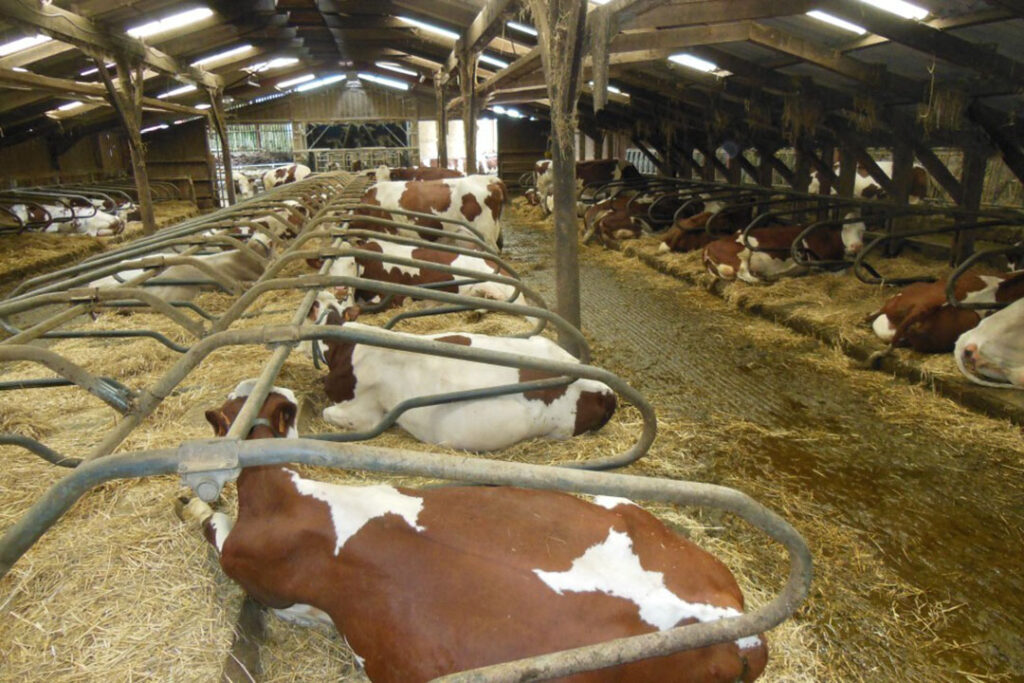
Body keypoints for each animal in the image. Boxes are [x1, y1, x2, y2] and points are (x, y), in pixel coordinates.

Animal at [178, 382, 770, 679]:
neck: (288, 492)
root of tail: (737, 627)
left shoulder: (251, 568)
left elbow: (213, 525)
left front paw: (190, 503)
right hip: (623, 505)